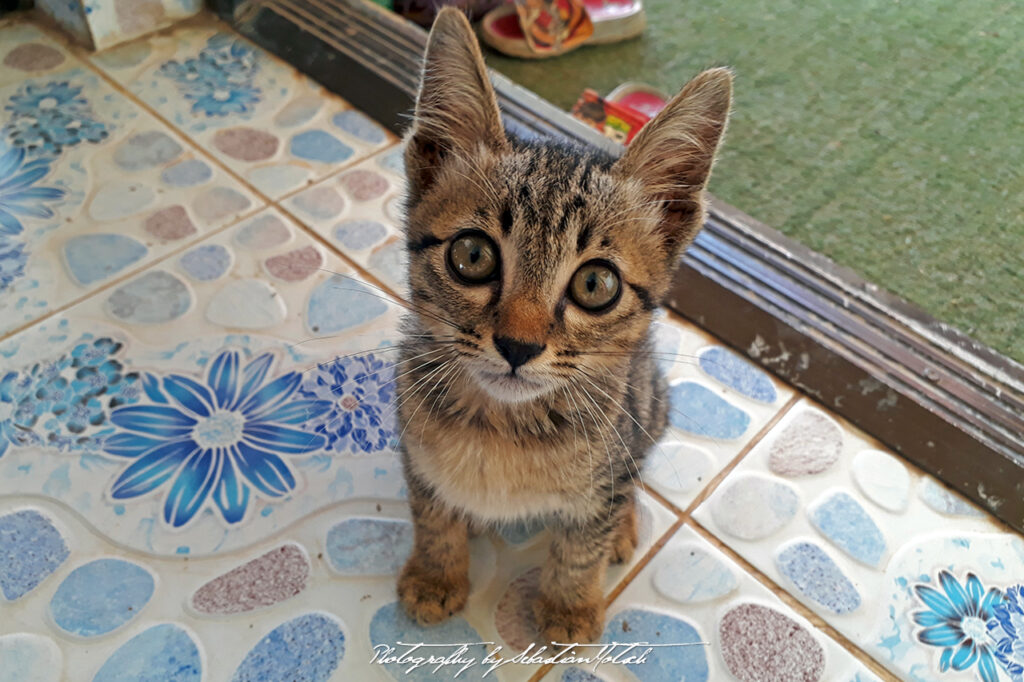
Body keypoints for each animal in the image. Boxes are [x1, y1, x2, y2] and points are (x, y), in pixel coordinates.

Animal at [395, 6, 733, 643]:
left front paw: (569, 606)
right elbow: (429, 509)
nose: (516, 345)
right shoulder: (411, 439)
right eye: (472, 255)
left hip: (649, 404)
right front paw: (435, 572)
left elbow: (582, 540)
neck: (503, 429)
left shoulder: (610, 463)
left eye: (595, 285)